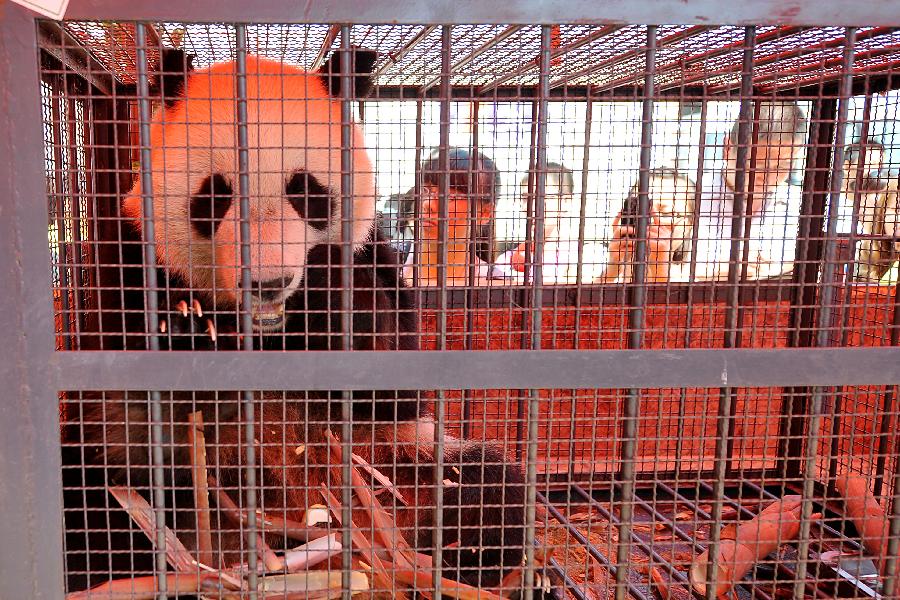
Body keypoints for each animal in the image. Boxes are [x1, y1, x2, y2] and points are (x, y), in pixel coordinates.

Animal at [61, 45, 540, 596]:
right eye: (216, 195)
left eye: (306, 191)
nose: (269, 282)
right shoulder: (132, 258)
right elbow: (132, 391)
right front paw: (184, 329)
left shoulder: (377, 257)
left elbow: (392, 384)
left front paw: (327, 281)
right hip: (133, 484)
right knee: (88, 508)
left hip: (395, 464)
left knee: (487, 492)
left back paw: (458, 559)